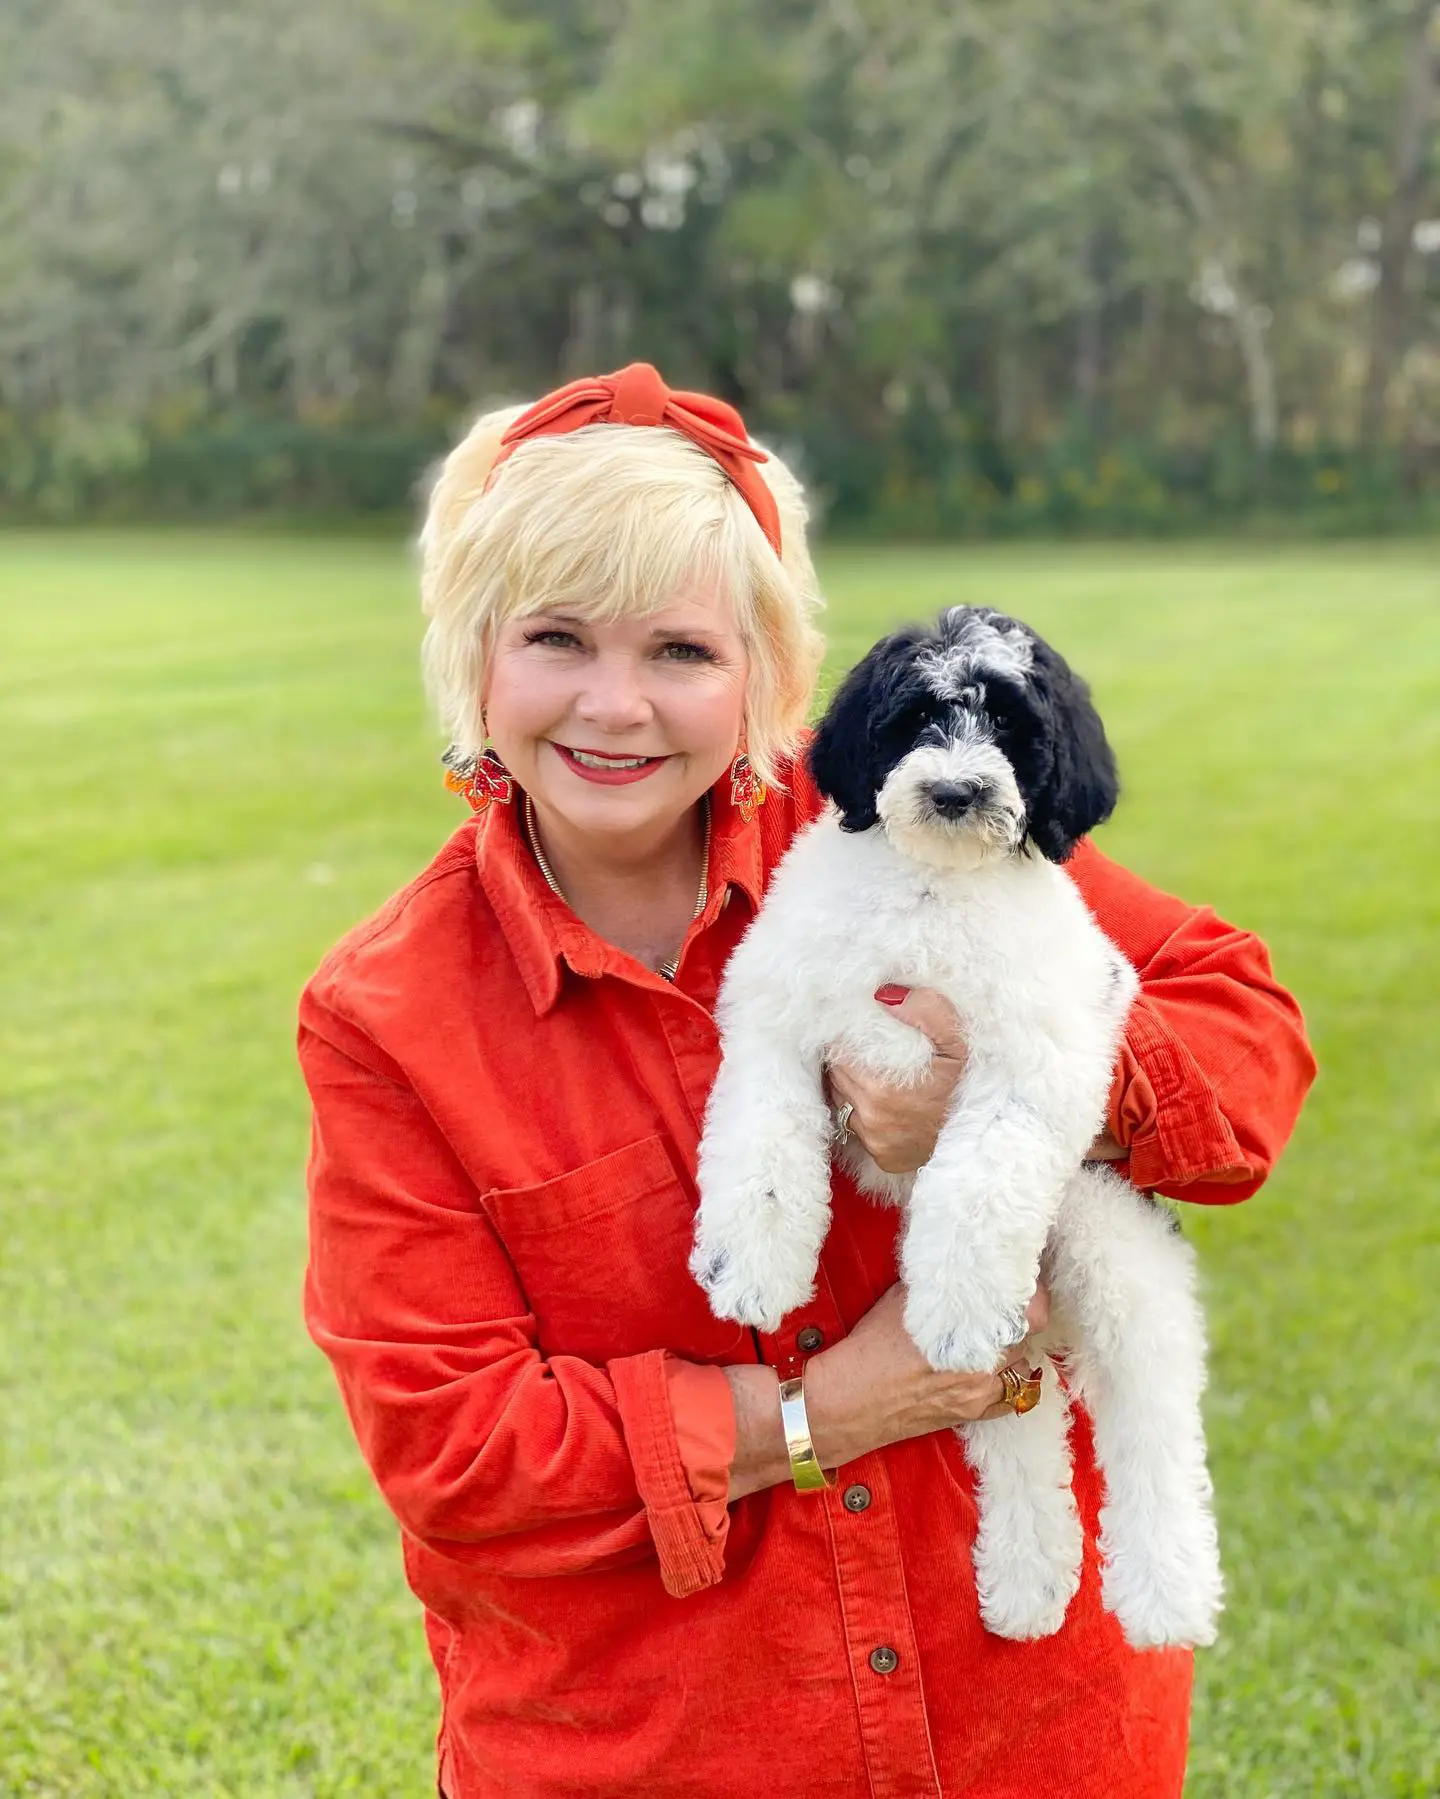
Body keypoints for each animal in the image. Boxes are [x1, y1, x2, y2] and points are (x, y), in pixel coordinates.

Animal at [691, 611, 1224, 1647]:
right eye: (915, 718)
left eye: (1014, 729)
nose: (953, 789)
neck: (931, 892)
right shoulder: (775, 1020)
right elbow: (760, 1144)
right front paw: (754, 1267)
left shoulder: (1030, 1063)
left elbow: (981, 1175)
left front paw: (963, 1299)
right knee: (1022, 1429)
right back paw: (1027, 1580)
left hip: (1112, 1241)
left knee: (1150, 1422)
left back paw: (1164, 1591)